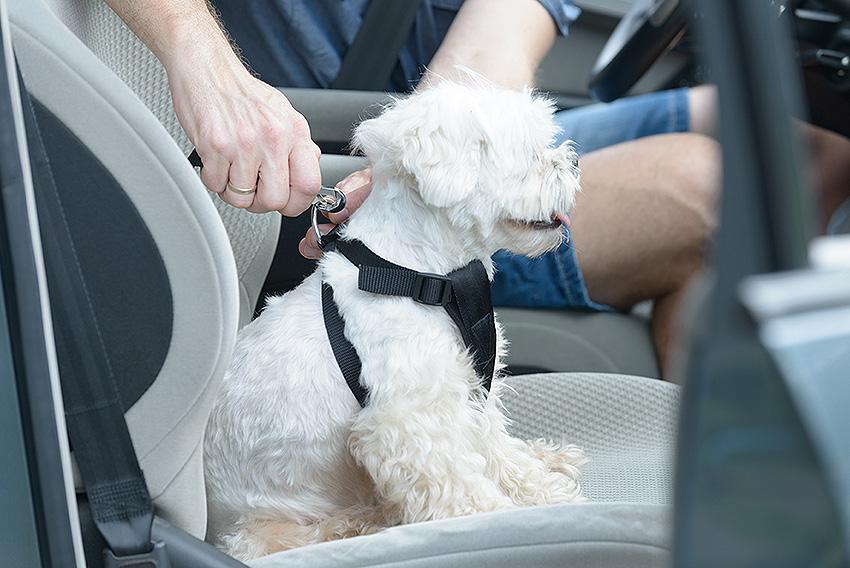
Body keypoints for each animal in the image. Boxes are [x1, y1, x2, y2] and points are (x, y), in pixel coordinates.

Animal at [207, 79, 584, 560]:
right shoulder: (407, 422)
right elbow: (459, 484)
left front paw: (542, 490)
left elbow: (498, 452)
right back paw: (366, 520)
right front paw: (499, 519)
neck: (423, 275)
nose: (573, 160)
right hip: (268, 531)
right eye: (530, 153)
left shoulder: (468, 394)